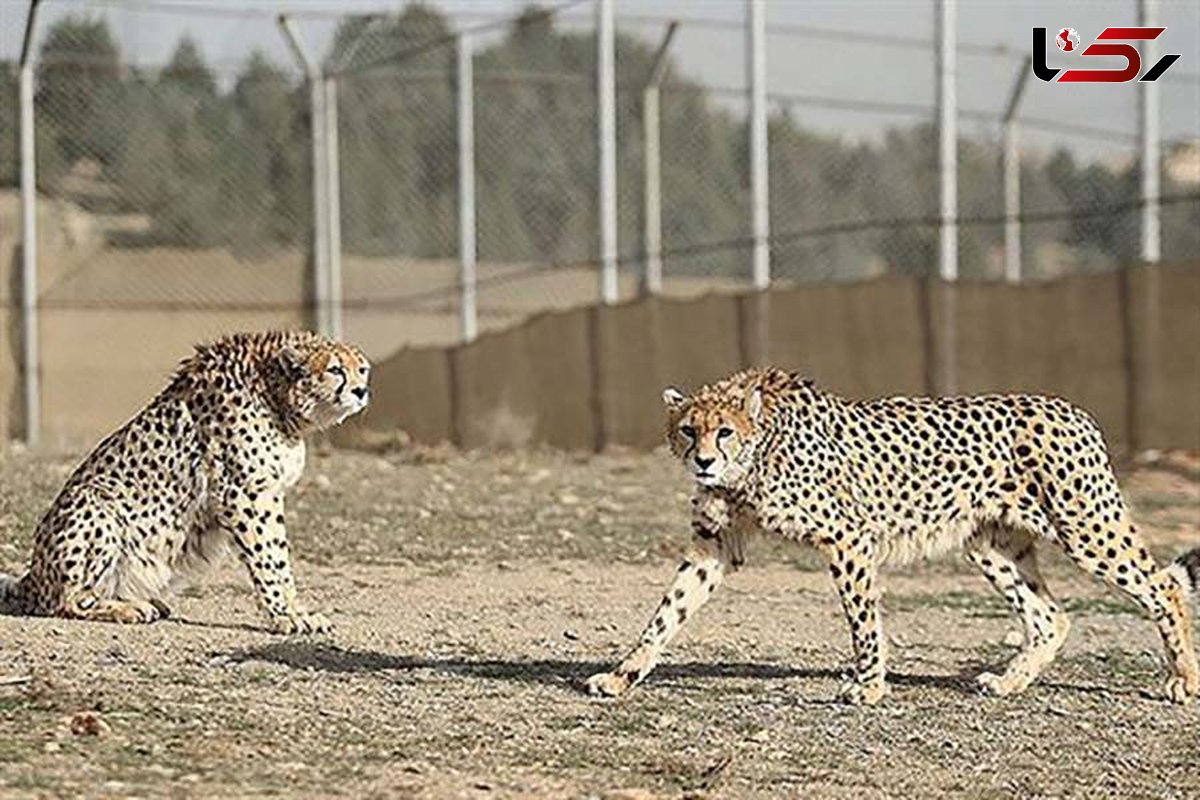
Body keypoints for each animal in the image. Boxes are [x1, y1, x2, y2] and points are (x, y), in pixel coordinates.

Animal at [0, 331, 367, 633]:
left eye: (362, 369)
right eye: (335, 369)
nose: (362, 391)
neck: (273, 391)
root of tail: (33, 577)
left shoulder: (266, 492)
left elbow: (277, 555)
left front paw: (292, 611)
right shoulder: (246, 494)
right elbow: (271, 557)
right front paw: (288, 615)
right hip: (95, 502)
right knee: (65, 602)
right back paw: (127, 609)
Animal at [590, 367, 1200, 705]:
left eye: (723, 432)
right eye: (687, 429)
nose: (704, 461)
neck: (755, 458)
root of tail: (1072, 409)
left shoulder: (849, 539)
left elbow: (863, 620)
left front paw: (869, 686)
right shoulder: (714, 545)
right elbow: (667, 612)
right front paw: (622, 676)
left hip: (1085, 527)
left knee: (1164, 587)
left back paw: (1183, 679)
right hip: (991, 543)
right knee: (1051, 616)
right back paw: (1008, 683)